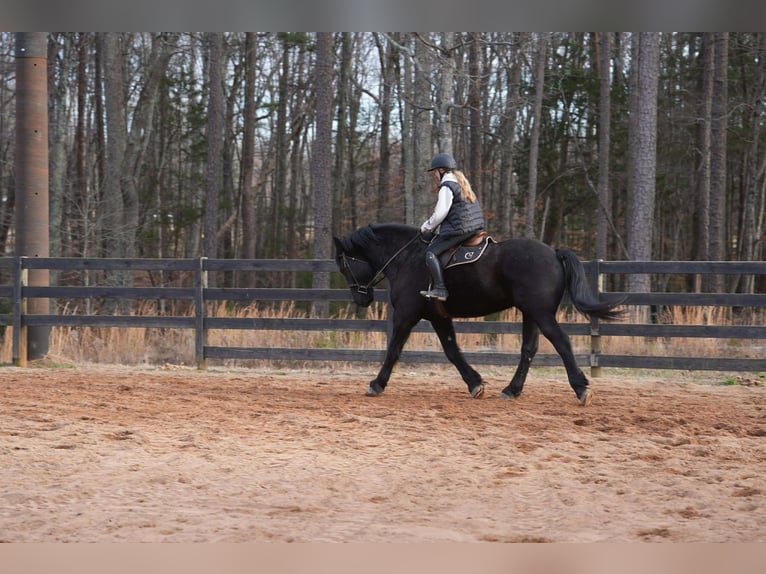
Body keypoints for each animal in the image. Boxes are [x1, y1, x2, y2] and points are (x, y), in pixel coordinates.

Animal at [333, 223, 625, 406]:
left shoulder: (406, 314)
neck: (408, 257)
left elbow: (393, 349)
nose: (361, 299)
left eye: (343, 265)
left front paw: (376, 384)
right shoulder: (439, 317)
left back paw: (581, 388)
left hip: (541, 314)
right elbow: (452, 351)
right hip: (531, 314)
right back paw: (512, 390)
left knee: (562, 343)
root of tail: (553, 252)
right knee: (528, 350)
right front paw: (475, 383)